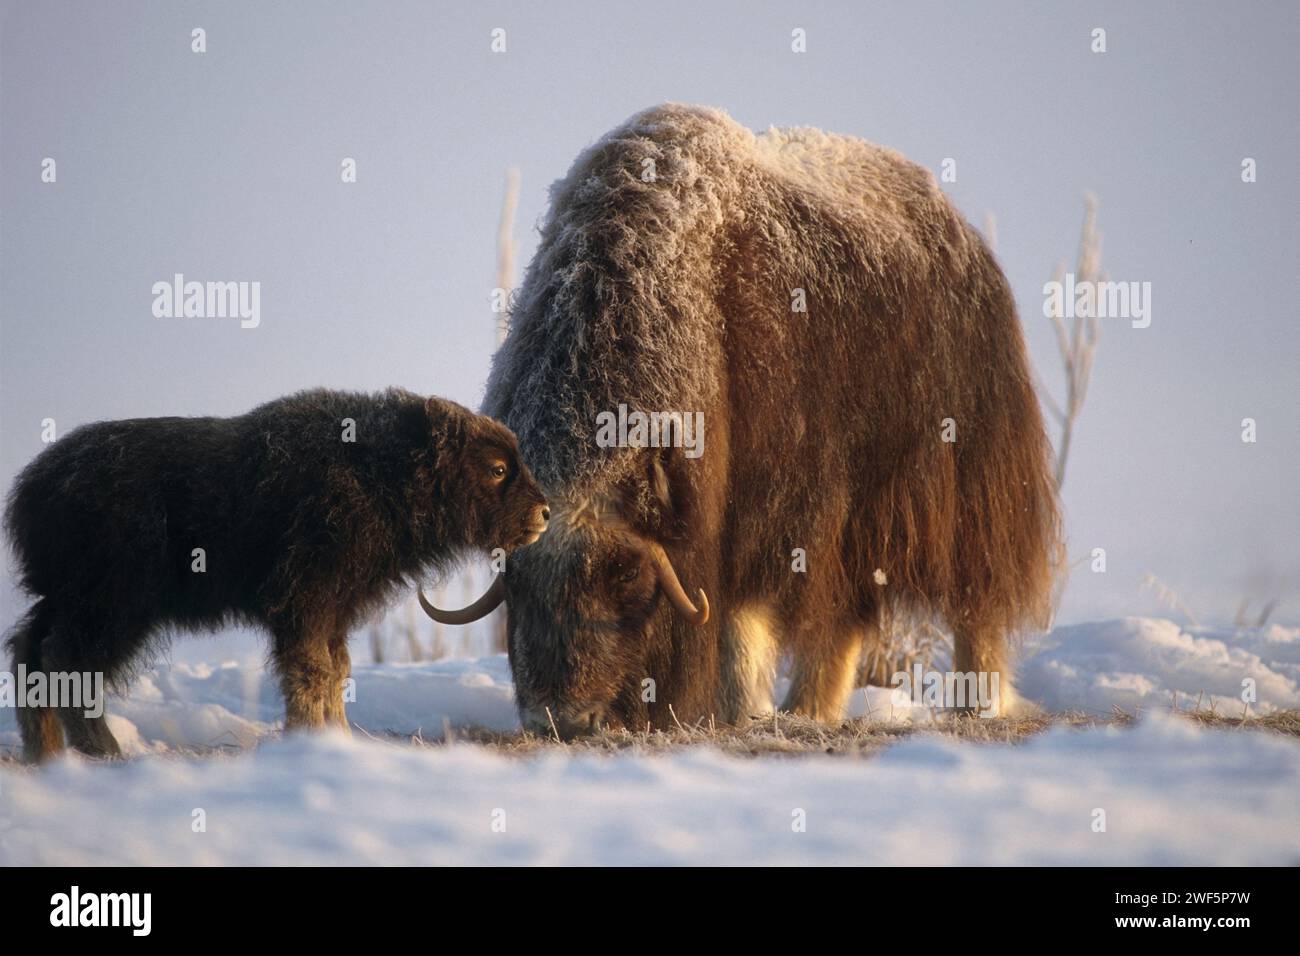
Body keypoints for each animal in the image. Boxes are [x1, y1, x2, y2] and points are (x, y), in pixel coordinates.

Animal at [3, 390, 548, 764]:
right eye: (498, 468)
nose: (544, 513)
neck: (381, 472)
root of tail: (32, 490)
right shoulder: (305, 603)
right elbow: (313, 672)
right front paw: (313, 737)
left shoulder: (334, 612)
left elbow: (337, 670)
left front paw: (337, 738)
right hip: (115, 606)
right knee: (67, 659)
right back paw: (105, 751)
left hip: (66, 600)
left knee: (30, 652)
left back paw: (48, 755)